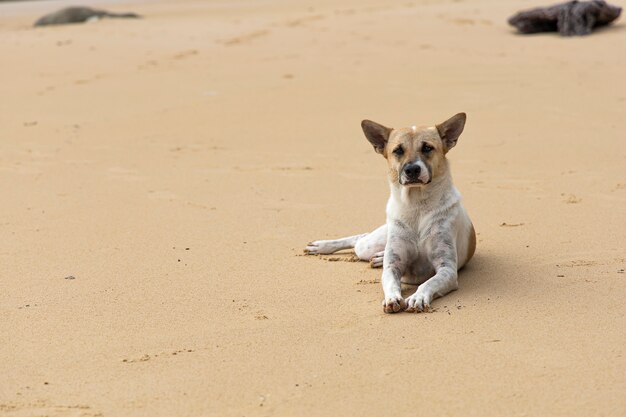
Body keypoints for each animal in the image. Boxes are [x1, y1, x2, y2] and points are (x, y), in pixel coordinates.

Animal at [304, 112, 476, 310]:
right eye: (398, 150)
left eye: (427, 148)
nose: (412, 170)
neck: (417, 206)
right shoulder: (393, 267)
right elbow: (390, 282)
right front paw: (392, 298)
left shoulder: (447, 269)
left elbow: (428, 283)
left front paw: (418, 297)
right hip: (371, 244)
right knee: (360, 239)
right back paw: (322, 246)